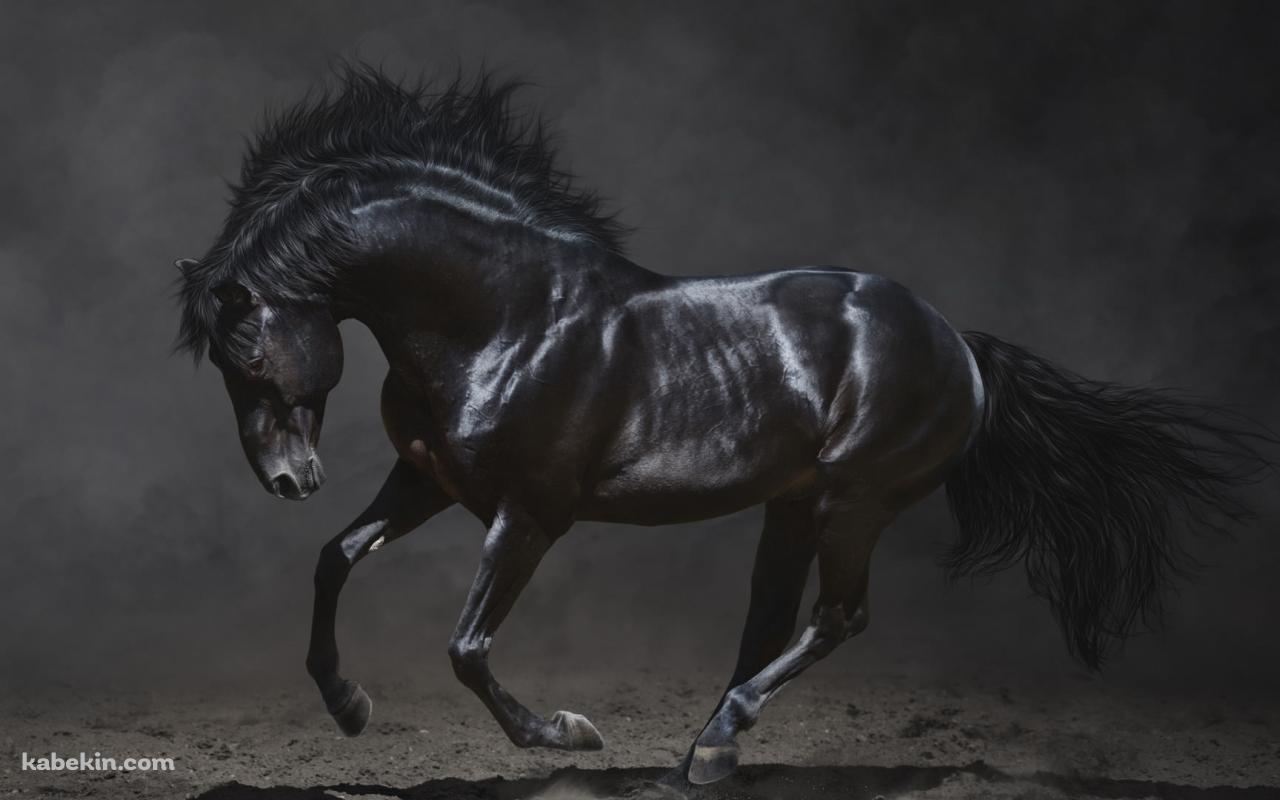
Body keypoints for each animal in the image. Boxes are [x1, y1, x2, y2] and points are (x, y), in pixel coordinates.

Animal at [174, 66, 1269, 786]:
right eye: (222, 366)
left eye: (247, 353)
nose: (287, 479)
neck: (506, 317)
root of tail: (957, 341)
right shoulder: (430, 480)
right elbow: (335, 558)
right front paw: (348, 706)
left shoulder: (529, 513)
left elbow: (468, 646)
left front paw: (568, 734)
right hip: (794, 505)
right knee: (770, 621)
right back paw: (704, 752)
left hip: (855, 499)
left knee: (836, 617)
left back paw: (713, 743)